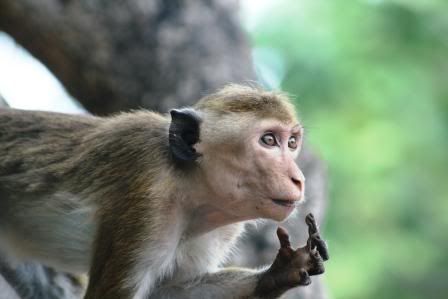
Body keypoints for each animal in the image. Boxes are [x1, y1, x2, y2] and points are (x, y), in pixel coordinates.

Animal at [0, 85, 328, 299]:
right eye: (269, 140)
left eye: (292, 143)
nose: (298, 179)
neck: (189, 188)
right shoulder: (147, 200)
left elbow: (168, 290)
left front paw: (282, 271)